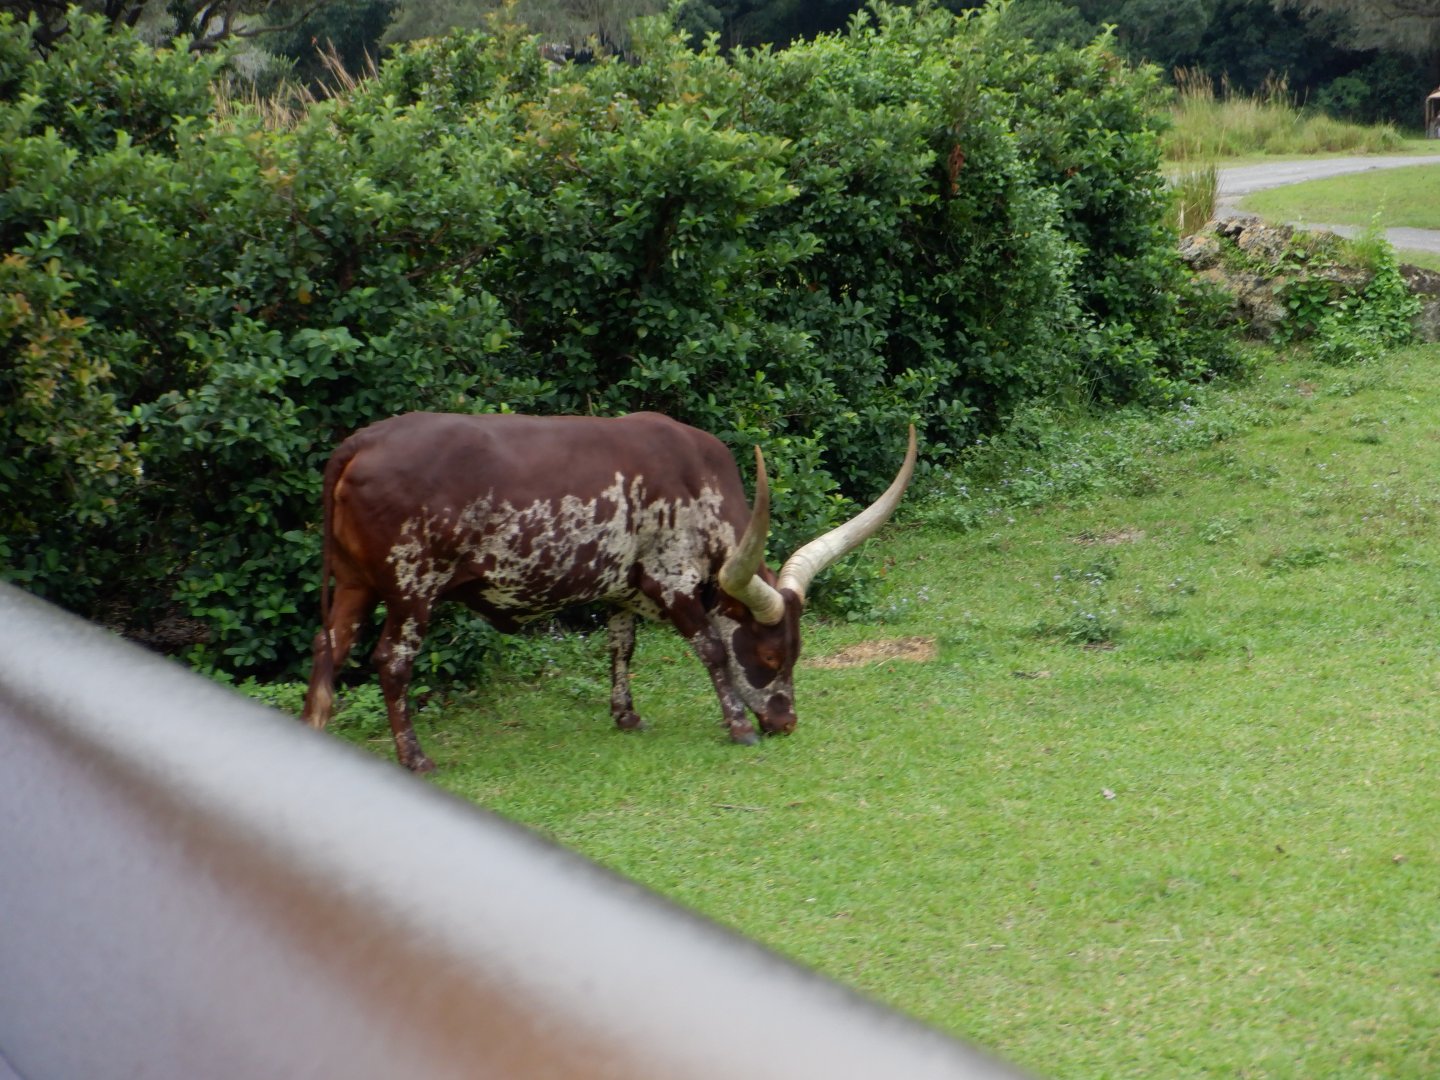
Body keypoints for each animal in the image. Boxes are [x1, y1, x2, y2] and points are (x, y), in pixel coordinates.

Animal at [302, 411, 917, 772]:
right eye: (767, 656)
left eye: (796, 653)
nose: (786, 722)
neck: (699, 487)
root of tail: (363, 442)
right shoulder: (673, 582)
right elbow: (711, 650)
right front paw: (740, 726)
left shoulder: (623, 590)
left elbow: (622, 647)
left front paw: (626, 715)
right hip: (412, 588)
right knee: (391, 660)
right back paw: (415, 756)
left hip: (354, 583)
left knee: (328, 646)